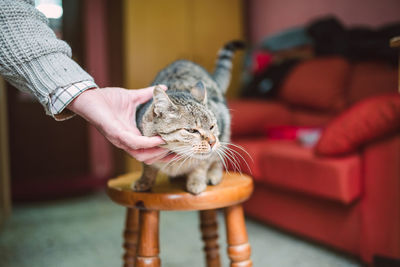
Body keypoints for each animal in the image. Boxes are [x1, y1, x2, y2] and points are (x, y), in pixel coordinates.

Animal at [133, 40, 244, 195]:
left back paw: (213, 175)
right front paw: (144, 181)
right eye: (192, 131)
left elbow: (201, 165)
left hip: (225, 131)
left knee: (217, 159)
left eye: (211, 126)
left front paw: (196, 182)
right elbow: (148, 167)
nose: (212, 142)